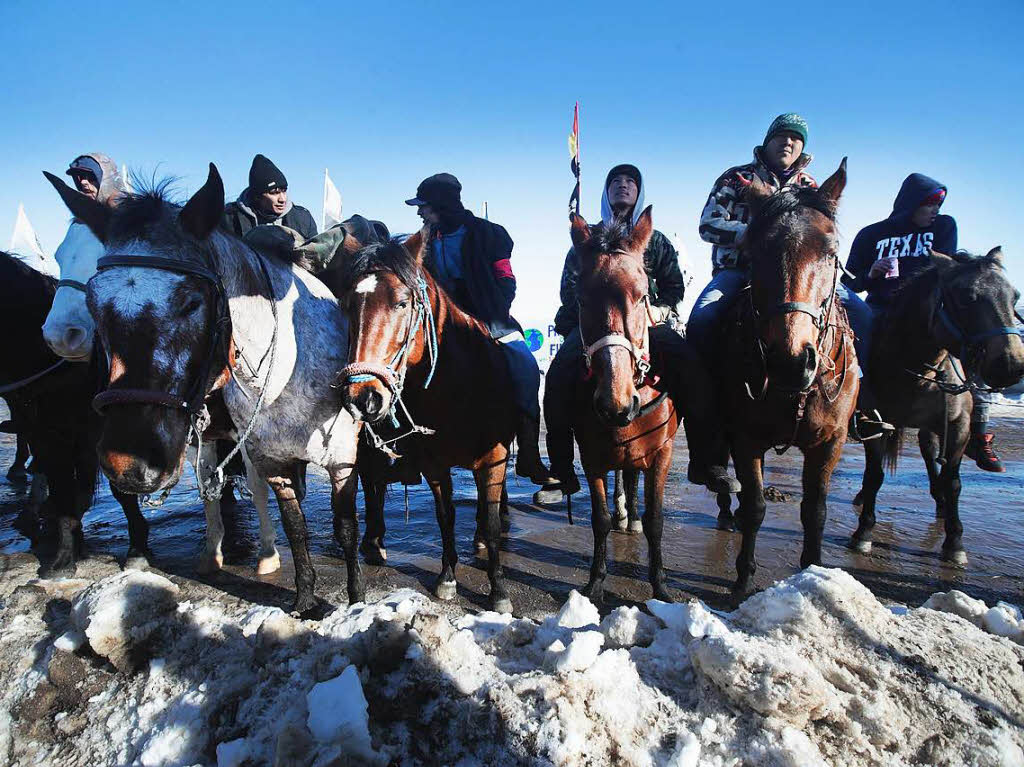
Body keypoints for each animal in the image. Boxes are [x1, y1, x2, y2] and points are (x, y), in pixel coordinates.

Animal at [51, 164, 366, 614]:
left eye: (191, 301)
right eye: (96, 303)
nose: (129, 463)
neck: (285, 373)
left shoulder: (341, 462)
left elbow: (346, 529)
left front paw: (355, 600)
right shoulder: (268, 460)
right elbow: (294, 528)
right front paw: (304, 600)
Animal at [339, 230, 520, 614]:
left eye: (402, 303)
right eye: (347, 306)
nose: (363, 398)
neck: (461, 389)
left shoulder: (493, 459)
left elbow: (491, 521)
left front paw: (498, 591)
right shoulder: (435, 465)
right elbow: (444, 516)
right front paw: (448, 577)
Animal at [569, 207, 679, 606]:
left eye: (643, 294)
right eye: (581, 298)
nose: (614, 403)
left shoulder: (662, 451)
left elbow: (656, 519)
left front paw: (660, 585)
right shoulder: (591, 455)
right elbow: (599, 519)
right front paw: (596, 581)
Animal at [724, 158, 860, 593]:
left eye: (831, 252)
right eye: (753, 252)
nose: (791, 361)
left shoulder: (830, 442)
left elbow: (814, 509)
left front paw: (814, 572)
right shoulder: (745, 437)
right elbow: (754, 506)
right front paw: (743, 578)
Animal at [847, 246, 1024, 561]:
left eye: (1014, 297)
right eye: (967, 297)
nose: (1011, 365)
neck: (918, 371)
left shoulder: (958, 427)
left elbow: (953, 482)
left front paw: (955, 543)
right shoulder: (874, 423)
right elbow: (874, 475)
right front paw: (864, 532)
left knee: (930, 453)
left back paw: (941, 503)